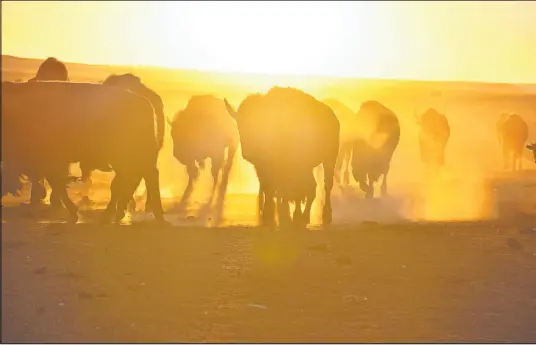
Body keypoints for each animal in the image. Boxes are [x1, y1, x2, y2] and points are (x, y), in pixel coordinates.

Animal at [1, 80, 164, 223]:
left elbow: (57, 184)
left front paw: (73, 213)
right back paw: (116, 214)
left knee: (144, 177)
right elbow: (56, 184)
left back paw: (154, 216)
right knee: (130, 180)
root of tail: (145, 102)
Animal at [224, 86, 338, 226]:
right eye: (239, 125)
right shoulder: (263, 167)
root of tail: (334, 118)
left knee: (324, 185)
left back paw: (321, 216)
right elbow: (269, 187)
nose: (248, 152)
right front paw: (269, 215)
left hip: (329, 160)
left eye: (259, 124)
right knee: (309, 187)